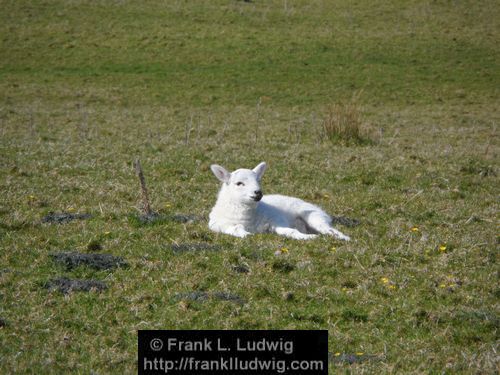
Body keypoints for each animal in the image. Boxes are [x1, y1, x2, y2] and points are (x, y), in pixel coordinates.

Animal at [208, 162, 352, 241]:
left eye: (258, 180)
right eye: (239, 183)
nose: (258, 193)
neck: (247, 218)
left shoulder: (276, 219)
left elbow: (290, 231)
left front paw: (308, 238)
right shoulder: (219, 225)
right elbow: (236, 229)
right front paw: (247, 235)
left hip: (314, 217)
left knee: (329, 230)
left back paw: (344, 238)